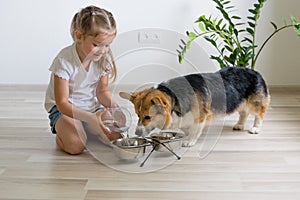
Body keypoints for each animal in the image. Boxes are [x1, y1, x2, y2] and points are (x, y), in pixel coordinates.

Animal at [119, 66, 270, 146]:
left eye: (148, 117)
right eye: (138, 115)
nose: (137, 133)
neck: (174, 98)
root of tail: (256, 72)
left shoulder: (201, 116)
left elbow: (195, 130)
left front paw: (189, 141)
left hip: (255, 103)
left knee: (259, 114)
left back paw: (255, 128)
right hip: (240, 102)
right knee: (244, 113)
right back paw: (239, 125)